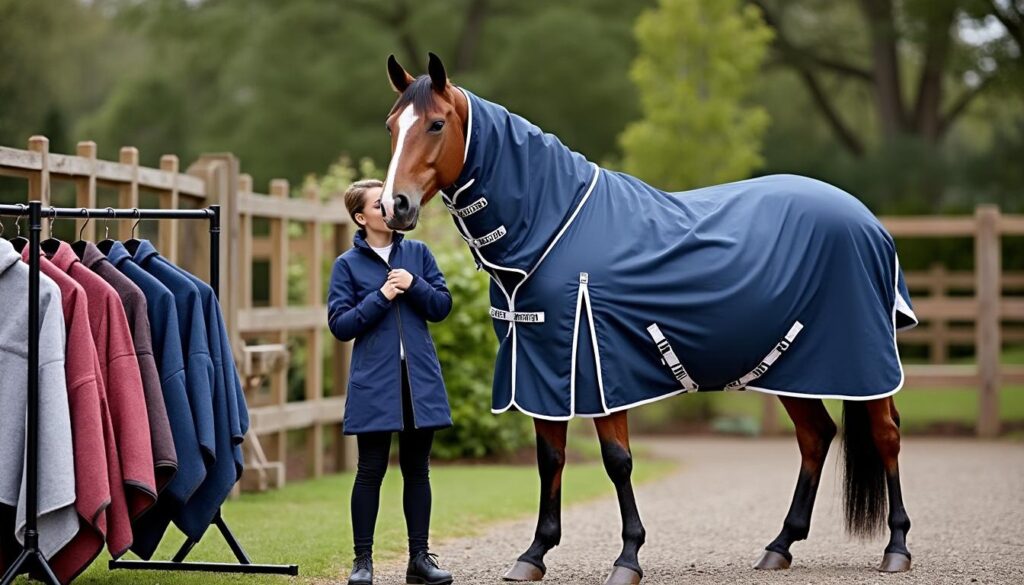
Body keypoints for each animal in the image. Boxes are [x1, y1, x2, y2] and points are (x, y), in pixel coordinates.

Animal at [378, 52, 917, 585]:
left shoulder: (599, 370)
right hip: (791, 367)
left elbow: (617, 461)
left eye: (436, 124)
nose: (393, 205)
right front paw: (534, 554)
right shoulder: (541, 371)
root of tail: (870, 223)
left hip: (863, 363)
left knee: (886, 435)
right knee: (816, 436)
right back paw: (779, 546)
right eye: (391, 126)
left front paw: (628, 557)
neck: (554, 228)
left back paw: (896, 548)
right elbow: (550, 459)